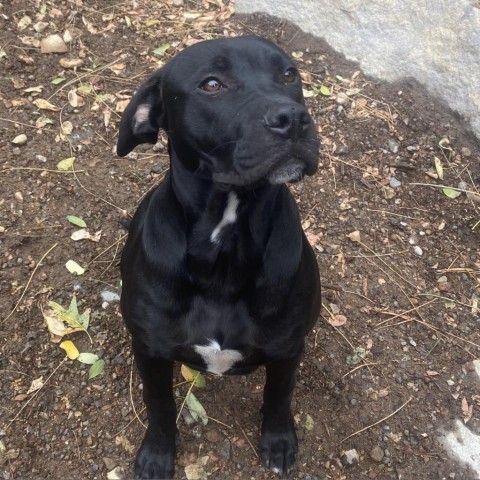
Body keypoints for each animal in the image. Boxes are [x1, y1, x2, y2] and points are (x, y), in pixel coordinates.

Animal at [117, 35, 322, 478]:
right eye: (211, 84)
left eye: (289, 75)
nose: (294, 119)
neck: (227, 243)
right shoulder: (151, 351)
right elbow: (159, 406)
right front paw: (157, 454)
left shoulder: (287, 349)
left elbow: (279, 397)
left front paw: (279, 441)